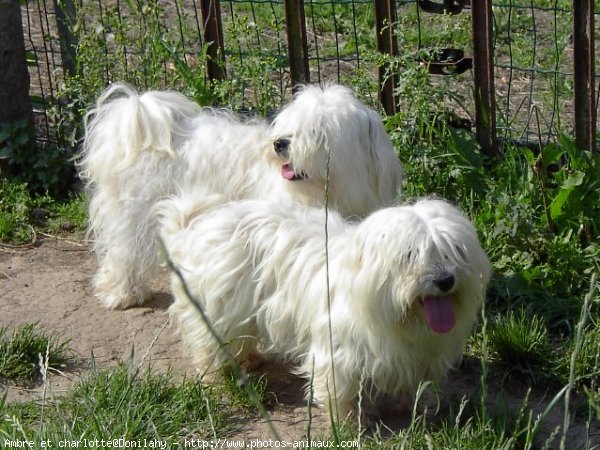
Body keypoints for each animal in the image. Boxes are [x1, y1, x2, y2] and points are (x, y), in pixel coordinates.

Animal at [76, 83, 404, 310]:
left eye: (316, 132)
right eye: (289, 126)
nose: (279, 143)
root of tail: (141, 117)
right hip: (131, 213)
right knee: (124, 252)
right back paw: (123, 293)